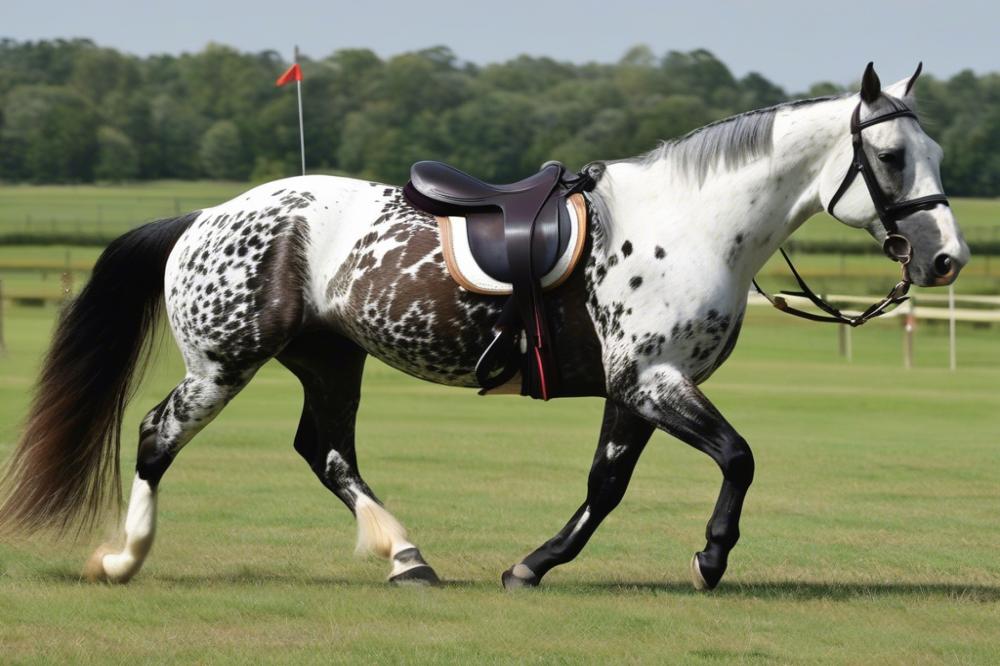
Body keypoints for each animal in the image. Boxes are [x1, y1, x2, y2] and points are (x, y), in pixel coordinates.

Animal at [0, 62, 968, 588]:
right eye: (889, 157)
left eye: (937, 153)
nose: (948, 259)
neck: (693, 222)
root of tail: (205, 216)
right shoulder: (654, 381)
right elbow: (739, 458)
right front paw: (711, 558)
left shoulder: (636, 388)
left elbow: (605, 486)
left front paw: (533, 564)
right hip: (223, 362)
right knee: (157, 437)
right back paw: (123, 558)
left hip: (327, 359)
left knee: (325, 451)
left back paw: (405, 555)